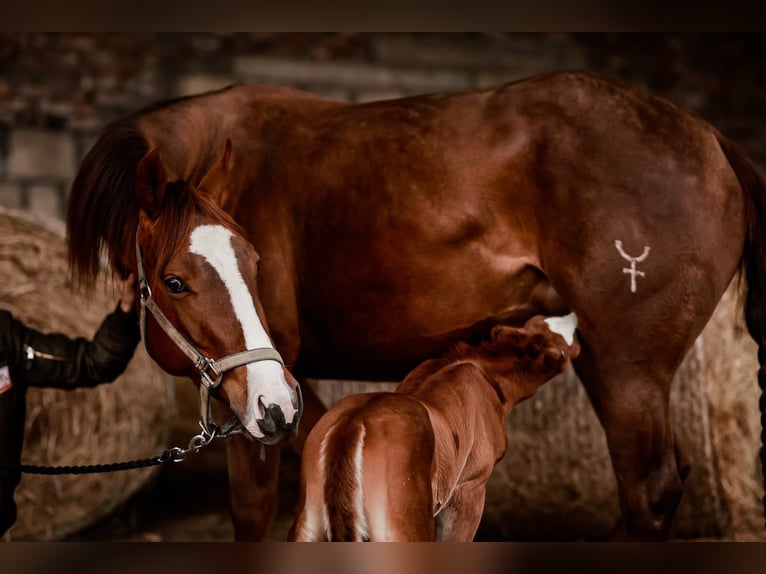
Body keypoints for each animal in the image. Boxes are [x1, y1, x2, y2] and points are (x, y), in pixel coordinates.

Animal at [289, 314, 580, 541]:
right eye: (565, 344)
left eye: (537, 321)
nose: (575, 317)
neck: (483, 369)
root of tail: (351, 426)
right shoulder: (469, 491)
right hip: (407, 524)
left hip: (307, 524)